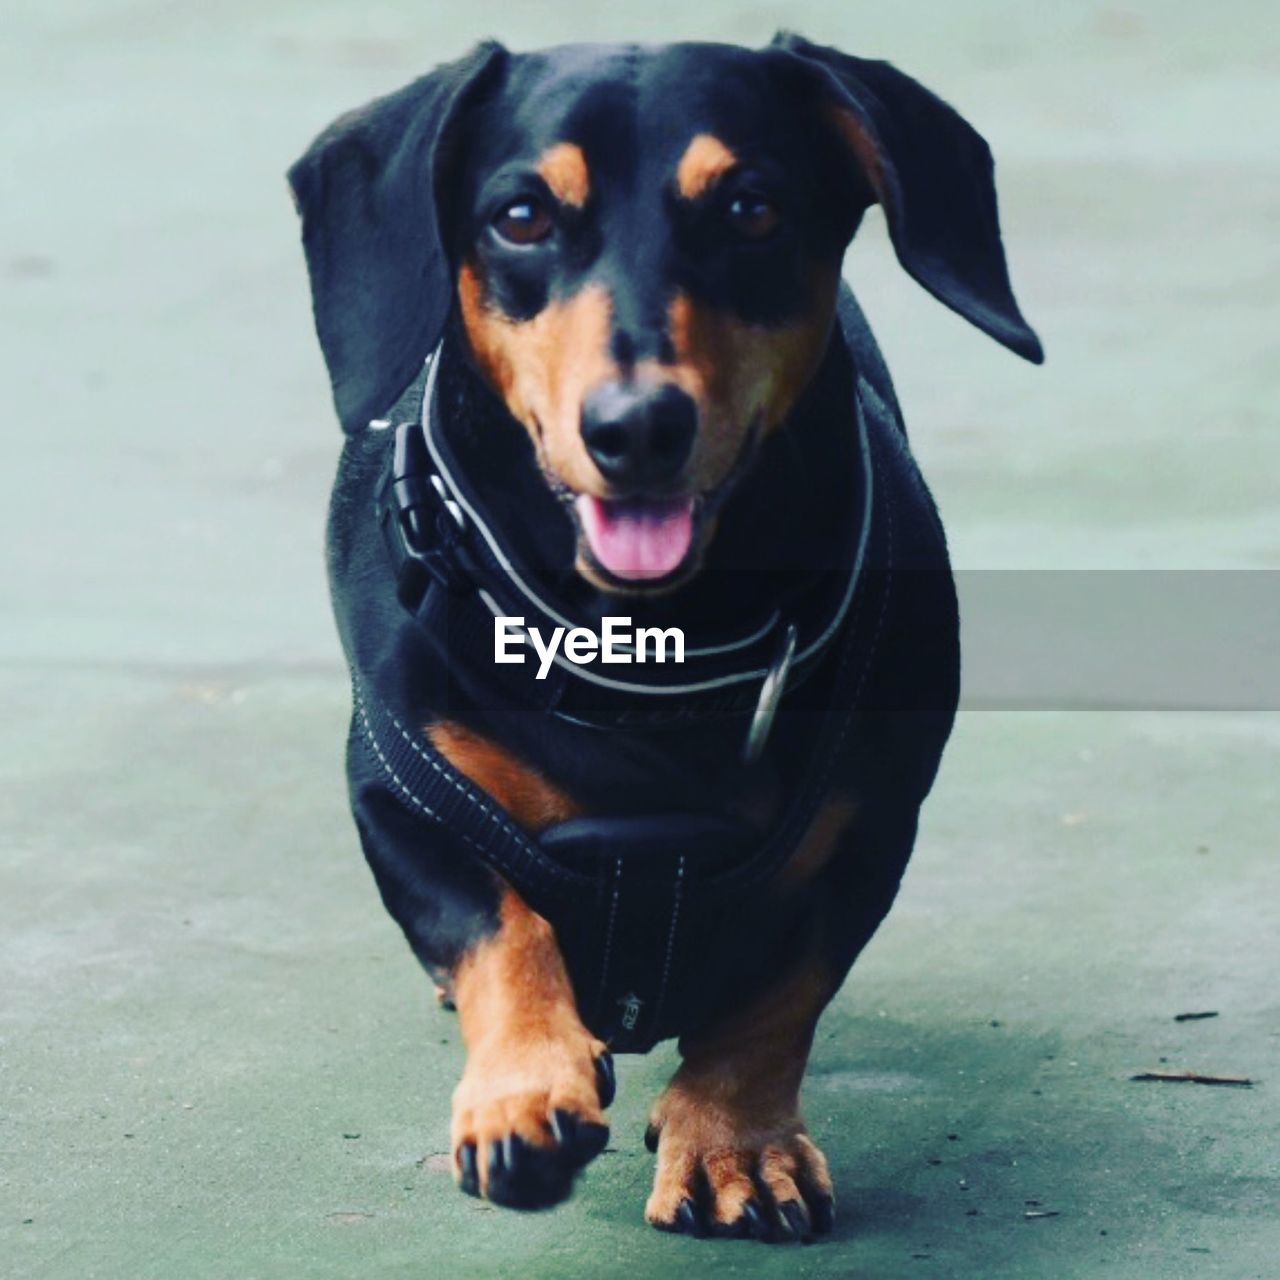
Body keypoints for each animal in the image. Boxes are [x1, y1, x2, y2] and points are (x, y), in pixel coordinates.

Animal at [290, 32, 1039, 1239]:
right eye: (519, 216)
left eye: (751, 207)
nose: (636, 428)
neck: (645, 649)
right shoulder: (399, 793)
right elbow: (496, 925)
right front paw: (523, 1091)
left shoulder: (871, 826)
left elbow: (779, 996)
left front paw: (735, 1143)